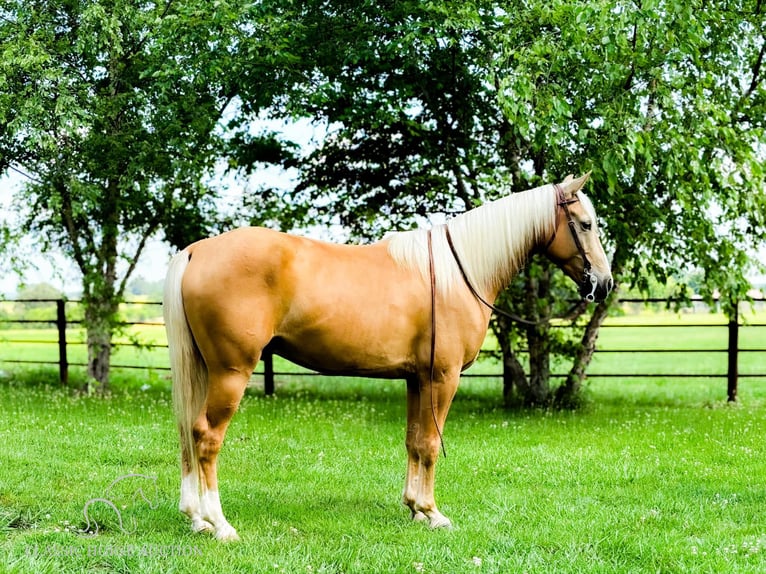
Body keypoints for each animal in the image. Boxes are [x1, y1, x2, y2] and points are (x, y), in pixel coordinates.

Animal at [165, 173, 616, 544]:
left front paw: (416, 508)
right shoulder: (443, 377)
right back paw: (220, 524)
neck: (458, 273)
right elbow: (431, 444)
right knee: (207, 437)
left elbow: (414, 441)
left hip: (205, 370)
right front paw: (434, 513)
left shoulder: (417, 379)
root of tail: (197, 251)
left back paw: (196, 518)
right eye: (586, 224)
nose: (605, 283)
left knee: (188, 431)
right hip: (231, 372)